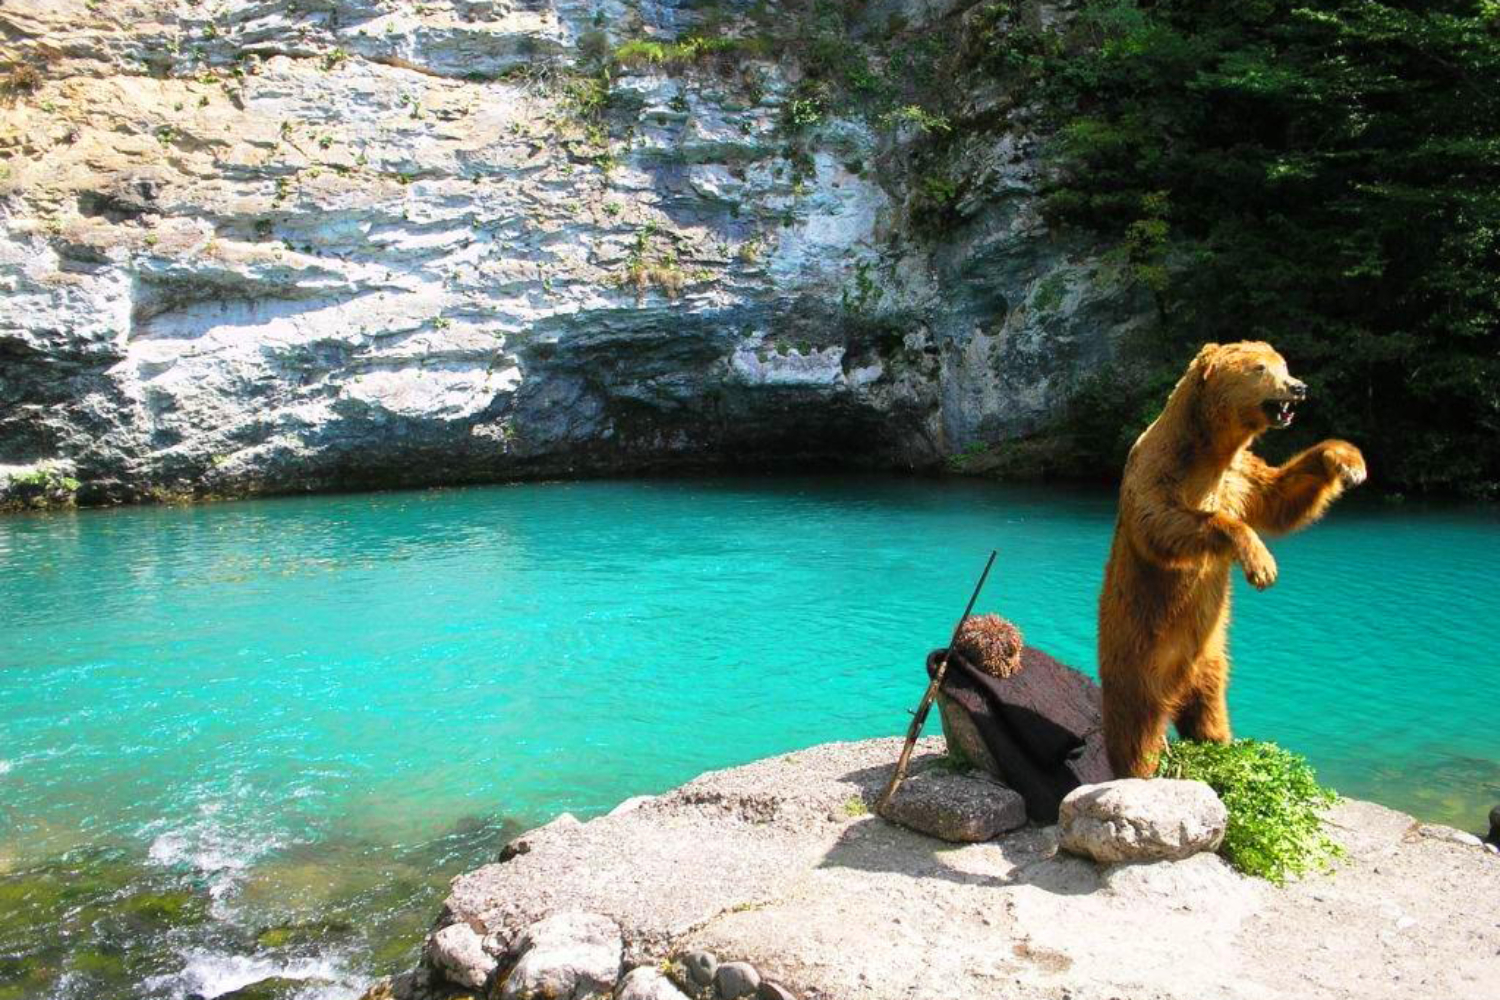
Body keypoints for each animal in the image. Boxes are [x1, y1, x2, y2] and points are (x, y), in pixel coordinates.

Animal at [1098, 344, 1368, 779]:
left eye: (1284, 363)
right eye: (1260, 368)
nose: (1298, 387)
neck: (1209, 453)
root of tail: (1177, 685)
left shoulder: (1241, 477)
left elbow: (1280, 497)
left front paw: (1347, 460)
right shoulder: (1157, 474)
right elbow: (1165, 525)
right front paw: (1261, 564)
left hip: (1211, 662)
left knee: (1210, 716)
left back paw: (1219, 746)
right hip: (1136, 661)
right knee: (1136, 733)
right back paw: (1141, 770)